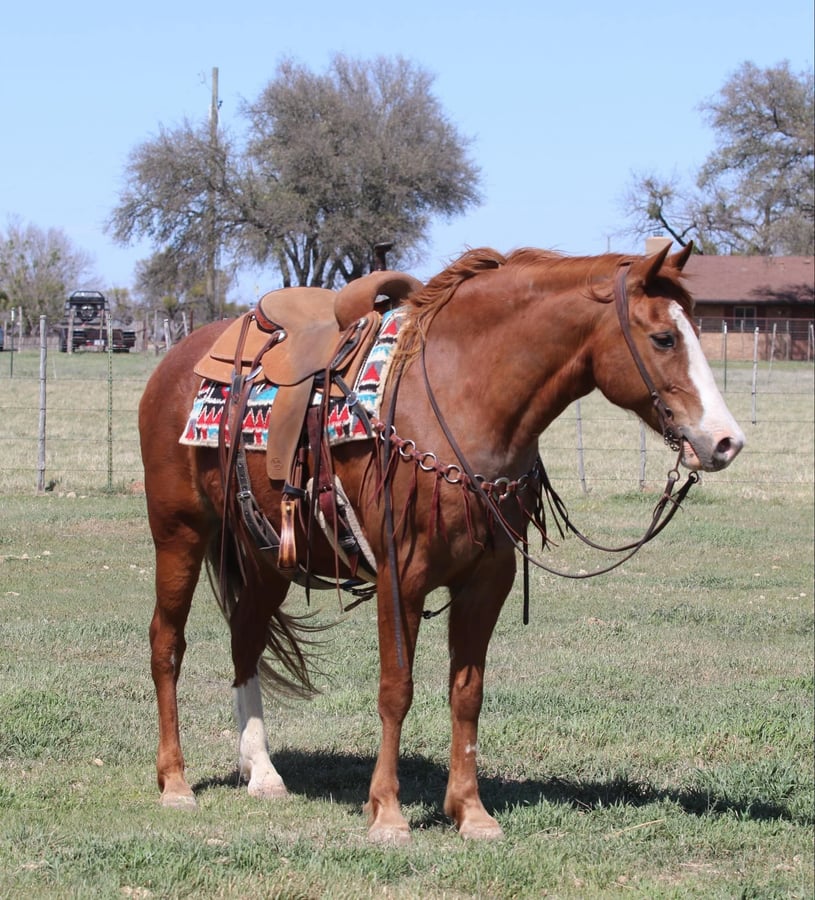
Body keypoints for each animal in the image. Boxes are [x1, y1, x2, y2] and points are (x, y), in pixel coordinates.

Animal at [139, 241, 744, 843]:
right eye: (663, 338)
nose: (726, 441)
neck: (462, 395)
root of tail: (176, 360)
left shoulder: (488, 579)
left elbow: (467, 692)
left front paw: (470, 811)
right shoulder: (399, 575)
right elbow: (396, 690)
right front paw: (387, 811)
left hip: (266, 555)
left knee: (246, 639)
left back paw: (260, 772)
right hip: (179, 534)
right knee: (167, 644)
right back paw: (175, 782)